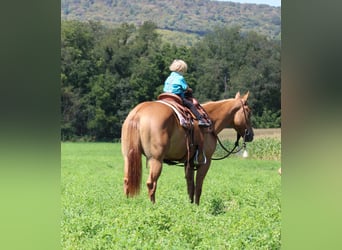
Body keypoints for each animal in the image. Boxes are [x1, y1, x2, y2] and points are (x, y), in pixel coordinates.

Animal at [121, 91, 252, 204]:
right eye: (249, 113)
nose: (250, 135)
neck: (211, 121)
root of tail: (138, 113)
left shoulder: (189, 162)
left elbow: (190, 186)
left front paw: (190, 205)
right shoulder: (206, 161)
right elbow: (198, 186)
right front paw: (197, 207)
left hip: (128, 156)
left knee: (127, 180)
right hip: (156, 160)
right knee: (151, 183)